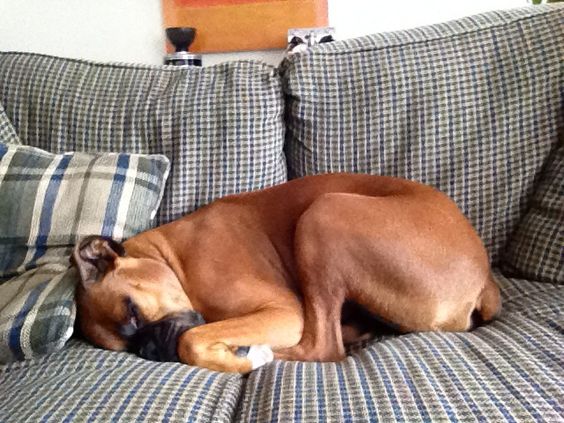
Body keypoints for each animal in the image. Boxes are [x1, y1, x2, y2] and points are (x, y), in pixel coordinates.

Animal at [72, 174, 500, 372]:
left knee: (322, 347)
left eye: (132, 311)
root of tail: (485, 279)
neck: (170, 257)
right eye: (127, 347)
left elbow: (190, 341)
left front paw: (244, 357)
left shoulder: (282, 312)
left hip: (324, 213)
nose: (148, 349)